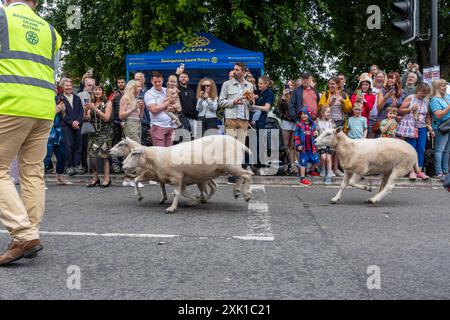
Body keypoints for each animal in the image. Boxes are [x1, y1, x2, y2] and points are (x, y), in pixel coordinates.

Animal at [121, 134, 253, 214]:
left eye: (134, 154)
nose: (122, 164)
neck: (157, 158)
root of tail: (241, 145)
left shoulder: (176, 177)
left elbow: (177, 193)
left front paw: (172, 208)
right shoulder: (181, 180)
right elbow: (183, 192)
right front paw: (194, 201)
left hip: (230, 165)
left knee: (247, 174)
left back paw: (246, 195)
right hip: (230, 166)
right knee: (243, 175)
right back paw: (236, 192)